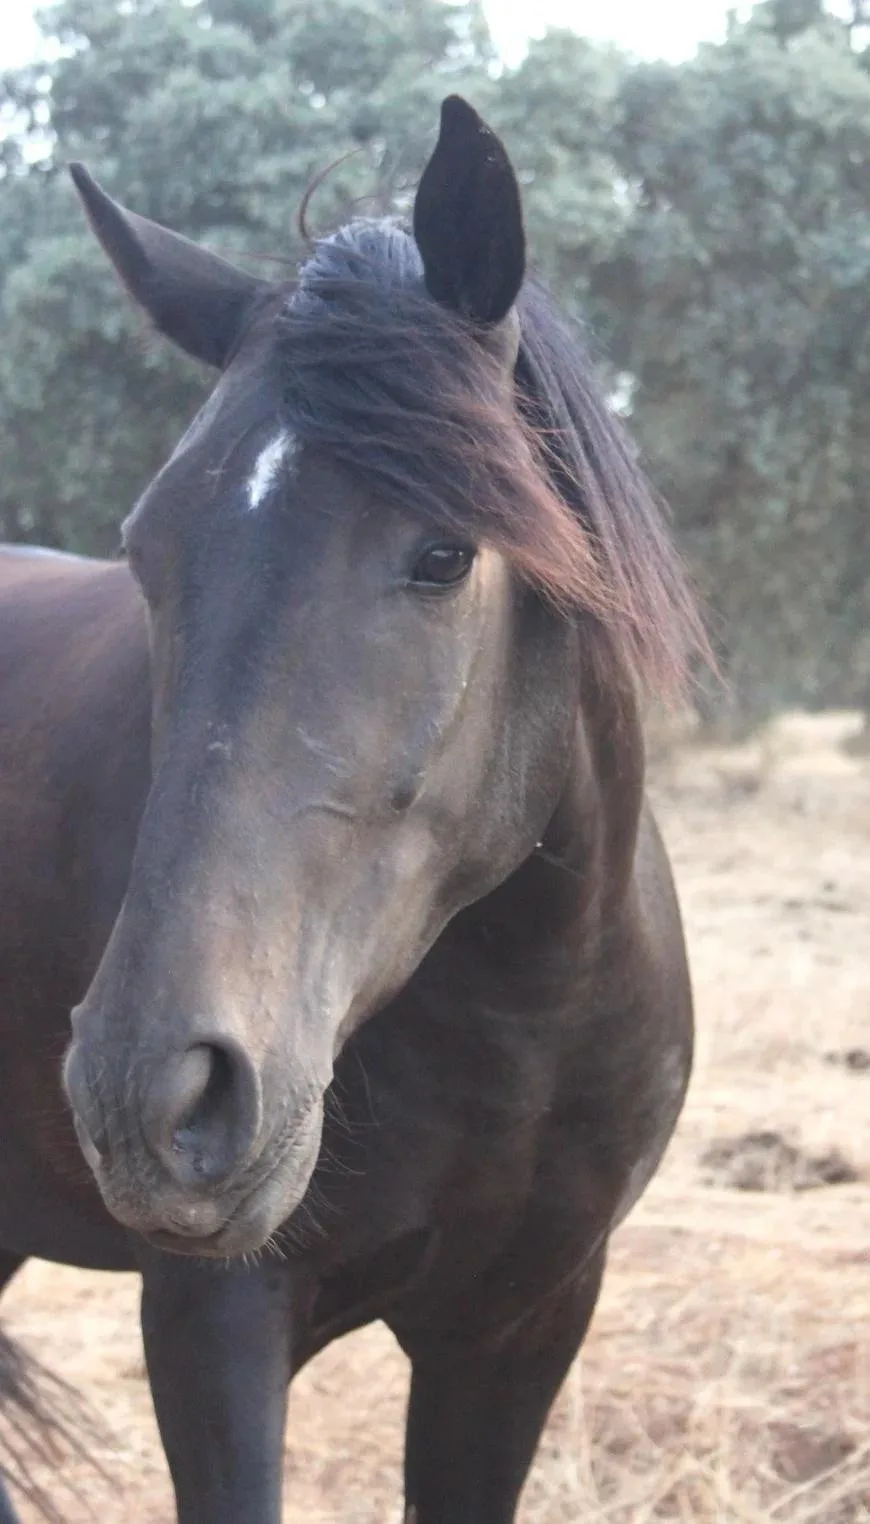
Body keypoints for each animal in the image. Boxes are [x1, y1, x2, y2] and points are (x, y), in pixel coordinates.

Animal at [0, 96, 706, 1522]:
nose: (145, 1095)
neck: (522, 1016)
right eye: (148, 551)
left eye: (444, 553)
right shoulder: (214, 1326)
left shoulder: (523, 1328)